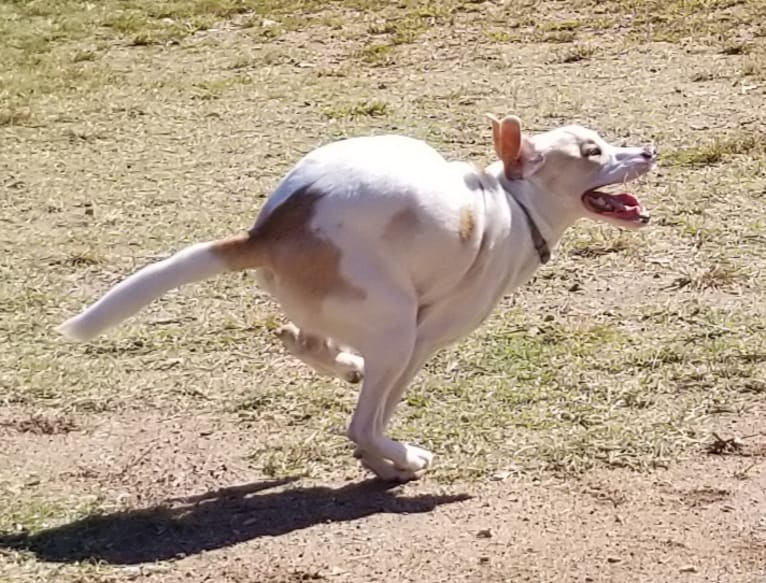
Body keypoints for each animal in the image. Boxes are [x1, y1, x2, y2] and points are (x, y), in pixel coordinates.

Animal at [58, 115, 660, 484]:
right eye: (593, 151)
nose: (650, 149)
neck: (513, 204)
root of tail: (267, 233)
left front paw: (377, 458)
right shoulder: (423, 341)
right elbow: (379, 415)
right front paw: (386, 462)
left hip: (343, 316)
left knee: (299, 339)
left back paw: (347, 368)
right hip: (394, 328)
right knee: (361, 420)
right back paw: (403, 452)